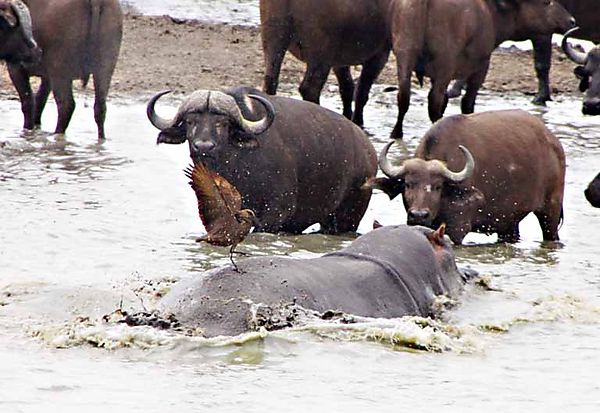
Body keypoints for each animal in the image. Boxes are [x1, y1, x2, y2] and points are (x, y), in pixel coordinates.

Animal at [148, 86, 378, 235]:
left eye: (222, 123)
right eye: (190, 121)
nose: (203, 146)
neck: (235, 167)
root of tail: (368, 150)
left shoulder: (276, 213)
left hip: (347, 218)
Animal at [260, 0, 392, 126]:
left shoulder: (339, 60)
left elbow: (347, 87)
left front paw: (347, 116)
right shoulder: (379, 54)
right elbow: (361, 92)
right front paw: (358, 122)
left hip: (274, 37)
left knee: (270, 81)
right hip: (321, 53)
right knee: (310, 88)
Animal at [372, 109, 564, 245]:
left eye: (438, 186)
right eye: (408, 184)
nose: (419, 215)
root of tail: (553, 142)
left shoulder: (457, 228)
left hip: (551, 211)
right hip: (508, 222)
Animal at [386, 0, 576, 139]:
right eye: (546, 1)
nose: (572, 21)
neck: (490, 11)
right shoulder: (480, 68)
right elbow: (467, 103)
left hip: (405, 55)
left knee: (404, 96)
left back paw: (396, 133)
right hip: (444, 65)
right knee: (434, 101)